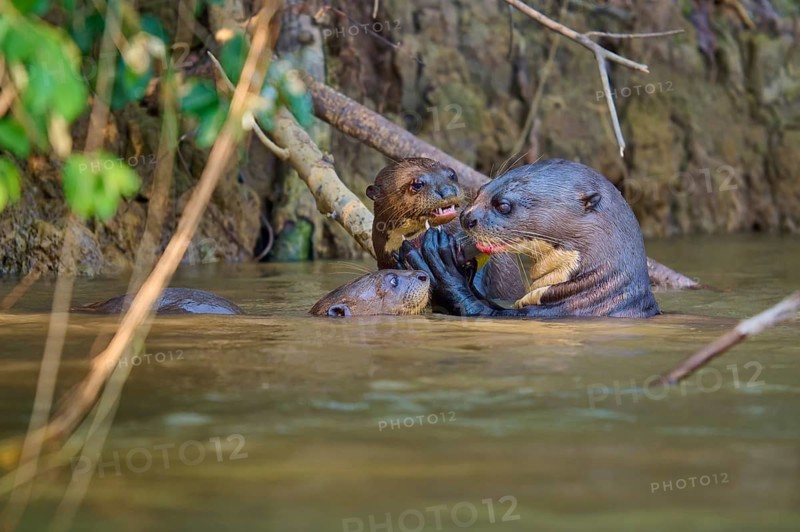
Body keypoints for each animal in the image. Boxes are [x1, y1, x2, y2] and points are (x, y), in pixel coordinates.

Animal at [399, 159, 660, 318]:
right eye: (482, 189)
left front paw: (441, 264)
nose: (466, 217)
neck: (593, 295)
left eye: (503, 205)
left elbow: (476, 309)